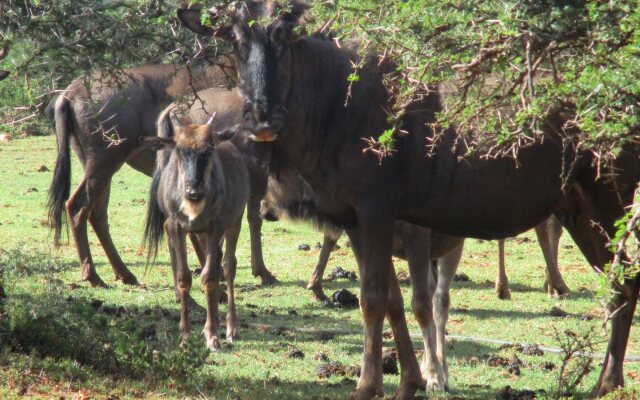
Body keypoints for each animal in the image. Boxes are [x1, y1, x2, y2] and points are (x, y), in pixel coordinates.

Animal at [144, 114, 246, 348]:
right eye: (180, 149)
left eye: (209, 149)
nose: (193, 189)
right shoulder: (176, 225)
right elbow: (184, 276)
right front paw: (185, 335)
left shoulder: (217, 225)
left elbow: (208, 276)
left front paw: (213, 336)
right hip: (199, 233)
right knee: (216, 263)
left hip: (235, 221)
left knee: (228, 266)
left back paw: (231, 327)